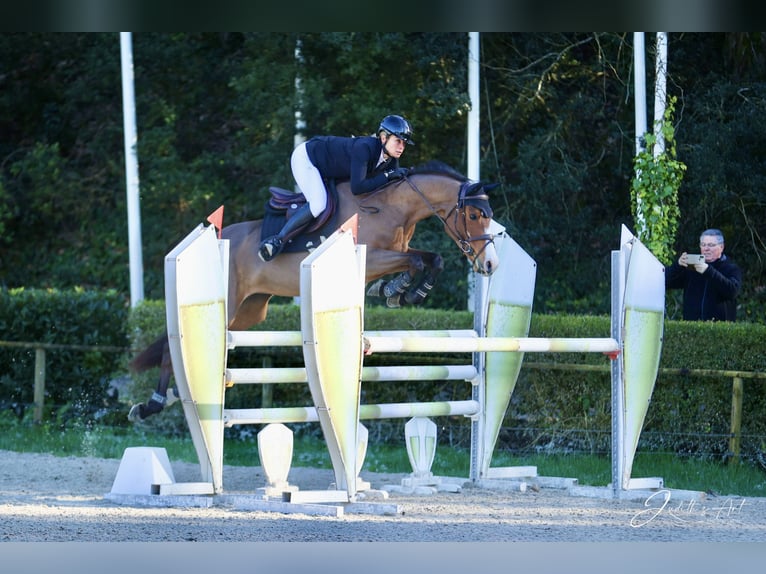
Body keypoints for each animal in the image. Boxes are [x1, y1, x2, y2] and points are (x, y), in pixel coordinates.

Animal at [130, 160, 504, 420]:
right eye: (474, 215)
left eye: (489, 215)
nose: (490, 265)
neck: (392, 205)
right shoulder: (372, 257)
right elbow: (416, 261)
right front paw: (399, 290)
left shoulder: (395, 252)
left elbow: (429, 259)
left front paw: (402, 291)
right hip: (230, 303)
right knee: (171, 349)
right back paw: (152, 404)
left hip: (249, 312)